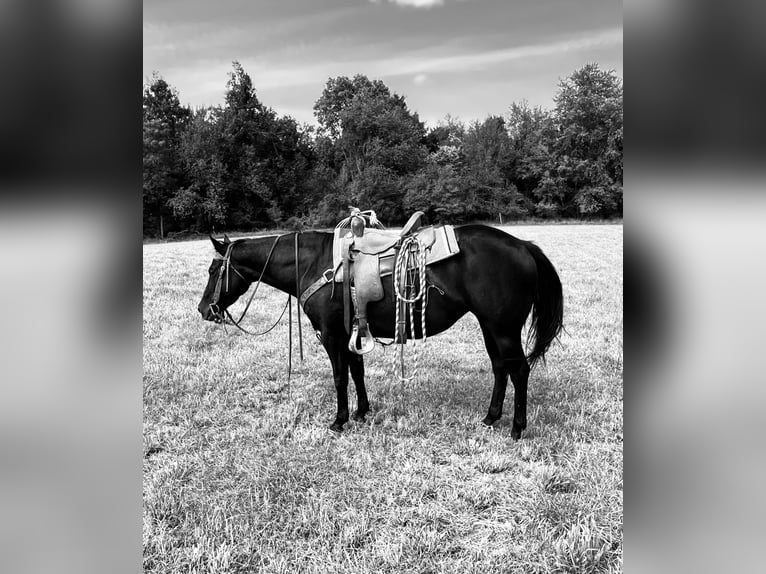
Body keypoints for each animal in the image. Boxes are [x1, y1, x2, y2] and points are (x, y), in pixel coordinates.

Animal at [198, 226, 564, 440]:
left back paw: (517, 428)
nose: (204, 310)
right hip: (491, 326)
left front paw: (339, 420)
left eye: (214, 269)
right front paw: (361, 412)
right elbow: (357, 371)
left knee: (519, 370)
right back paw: (490, 418)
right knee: (501, 367)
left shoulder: (331, 335)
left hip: (503, 328)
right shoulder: (352, 333)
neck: (313, 263)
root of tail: (522, 245)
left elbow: (340, 377)